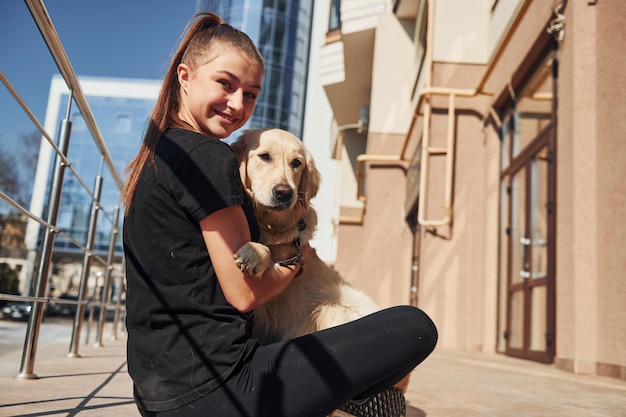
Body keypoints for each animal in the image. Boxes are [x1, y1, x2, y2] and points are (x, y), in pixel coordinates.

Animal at [229, 128, 410, 394]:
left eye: (296, 163)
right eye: (264, 156)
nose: (284, 192)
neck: (269, 224)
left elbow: (272, 252)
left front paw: (254, 253)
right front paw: (254, 249)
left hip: (331, 309)